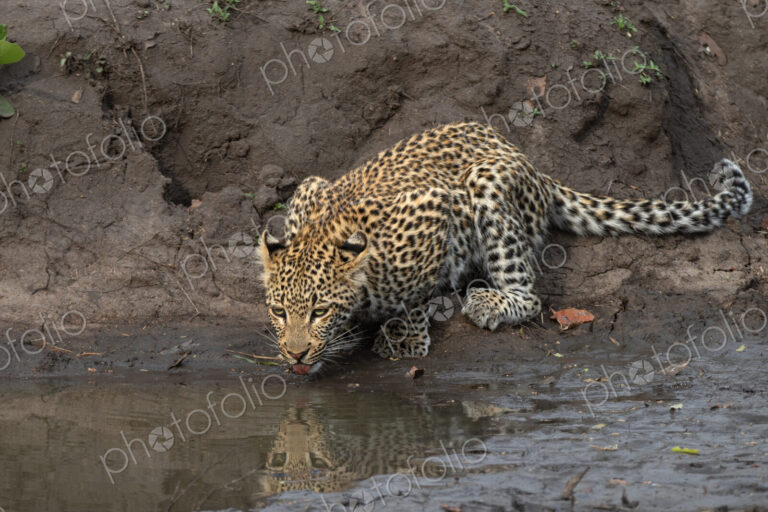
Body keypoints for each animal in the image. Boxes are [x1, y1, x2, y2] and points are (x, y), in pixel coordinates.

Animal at [258, 121, 753, 375]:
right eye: (279, 312)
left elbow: (412, 292)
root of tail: (531, 163)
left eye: (320, 311)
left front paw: (405, 335)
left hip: (487, 181)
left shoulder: (431, 207)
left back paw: (486, 302)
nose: (295, 354)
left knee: (529, 296)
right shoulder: (309, 190)